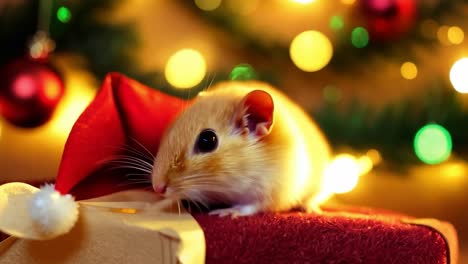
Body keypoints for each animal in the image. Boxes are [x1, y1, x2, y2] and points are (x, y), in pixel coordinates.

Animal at [152, 81, 330, 217]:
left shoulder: (272, 191)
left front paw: (227, 212)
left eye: (207, 140)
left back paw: (309, 208)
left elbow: (250, 206)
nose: (157, 187)